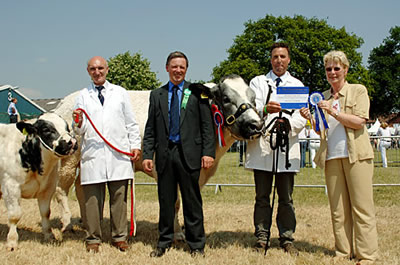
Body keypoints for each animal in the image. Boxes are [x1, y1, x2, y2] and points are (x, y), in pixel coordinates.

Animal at [0, 112, 77, 249]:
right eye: (46, 129)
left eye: (67, 127)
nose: (72, 142)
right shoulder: (10, 187)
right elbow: (14, 215)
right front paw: (12, 242)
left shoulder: (47, 189)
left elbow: (45, 213)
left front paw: (49, 236)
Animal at [54, 75, 266, 239]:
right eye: (226, 97)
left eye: (253, 98)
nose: (256, 125)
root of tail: (64, 101)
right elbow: (175, 202)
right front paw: (177, 233)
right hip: (69, 157)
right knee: (61, 188)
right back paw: (67, 223)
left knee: (81, 188)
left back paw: (88, 222)